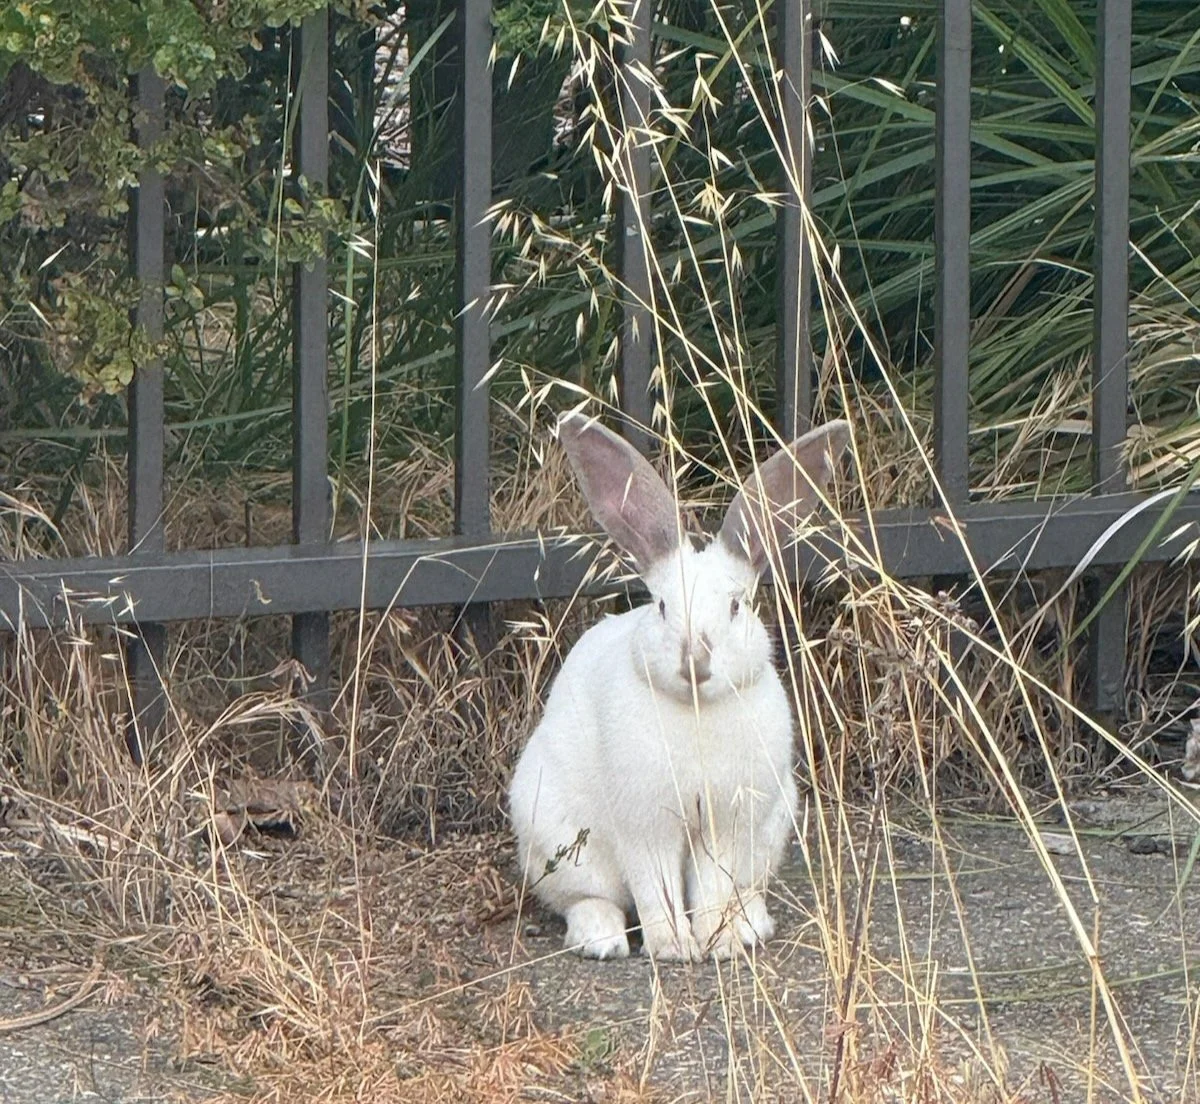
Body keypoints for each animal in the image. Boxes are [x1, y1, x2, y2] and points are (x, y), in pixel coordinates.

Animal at [509, 412, 850, 961]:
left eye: (735, 606)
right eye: (664, 607)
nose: (697, 661)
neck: (695, 707)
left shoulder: (725, 824)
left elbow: (710, 887)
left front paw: (718, 943)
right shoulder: (646, 825)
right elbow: (657, 889)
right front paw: (674, 948)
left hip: (768, 834)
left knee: (741, 889)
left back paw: (749, 926)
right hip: (560, 843)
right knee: (587, 900)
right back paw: (602, 940)